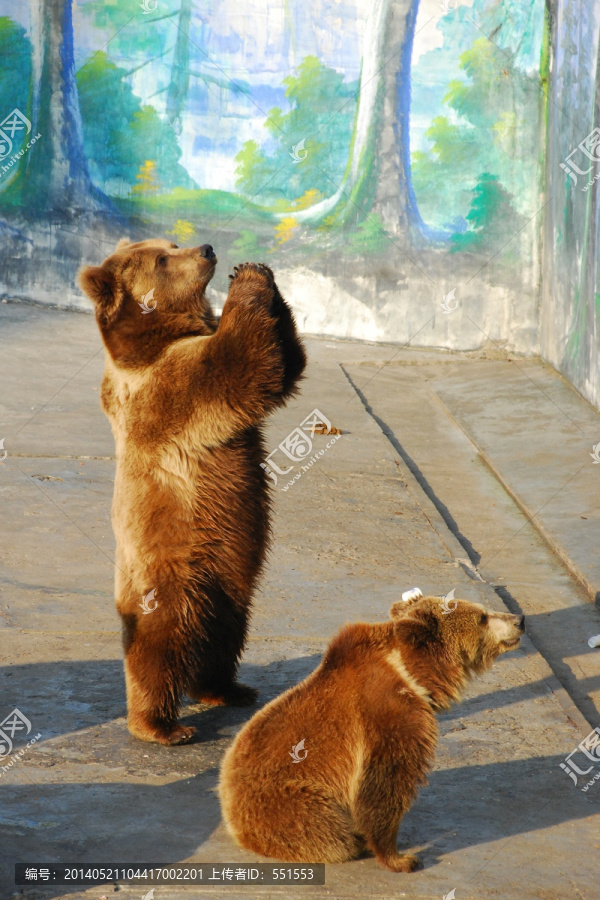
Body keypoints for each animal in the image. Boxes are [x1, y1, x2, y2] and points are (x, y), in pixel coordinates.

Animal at [78, 239, 306, 745]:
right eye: (163, 258)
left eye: (171, 244)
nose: (207, 248)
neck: (154, 339)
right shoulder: (167, 387)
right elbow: (243, 368)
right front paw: (249, 280)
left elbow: (286, 365)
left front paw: (258, 269)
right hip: (169, 571)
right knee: (159, 641)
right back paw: (161, 725)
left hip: (229, 570)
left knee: (225, 631)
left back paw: (226, 688)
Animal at [219, 594, 524, 871]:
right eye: (483, 617)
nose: (519, 619)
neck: (414, 674)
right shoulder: (386, 716)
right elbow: (385, 782)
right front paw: (400, 858)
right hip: (288, 800)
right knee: (329, 834)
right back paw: (352, 840)